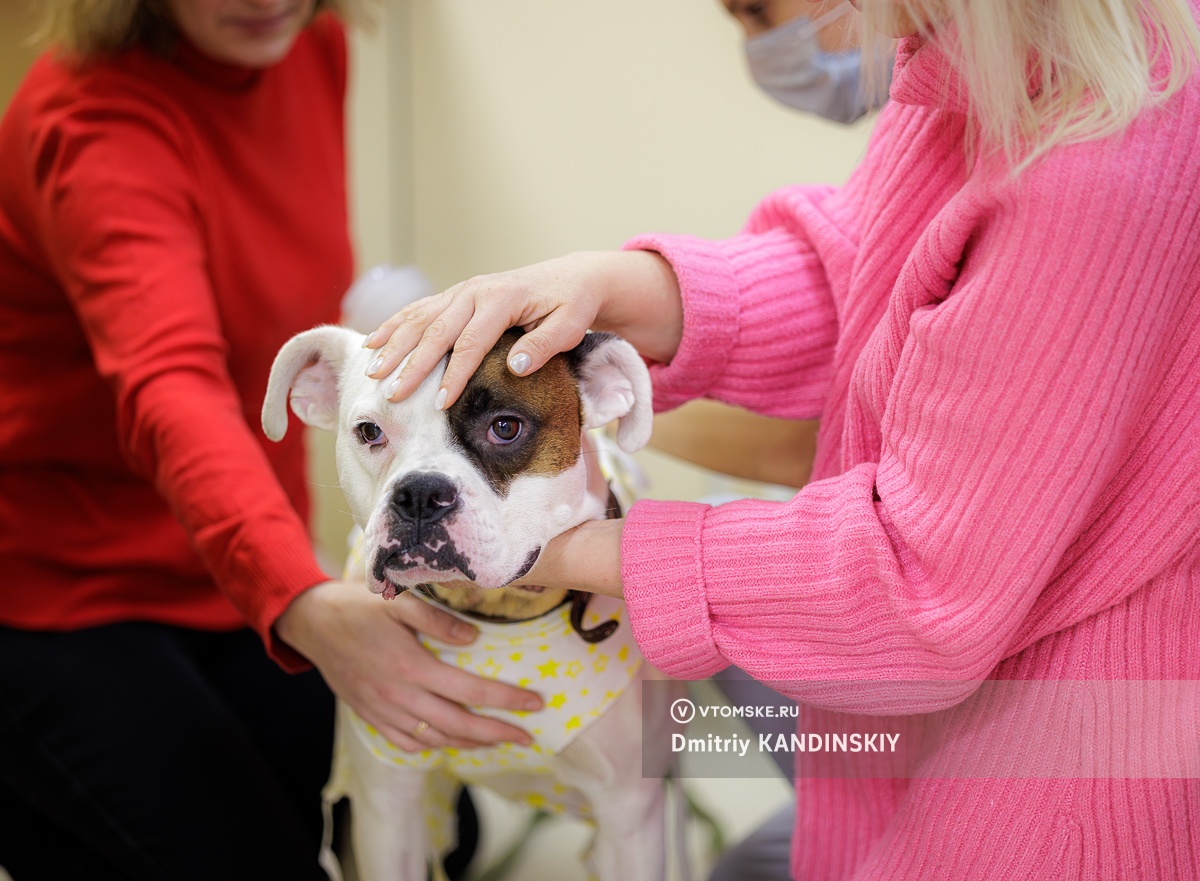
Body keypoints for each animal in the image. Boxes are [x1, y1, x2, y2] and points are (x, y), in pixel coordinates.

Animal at [262, 326, 686, 881]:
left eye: (505, 427)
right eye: (369, 431)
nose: (419, 494)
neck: (498, 618)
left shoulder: (630, 822)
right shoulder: (387, 811)